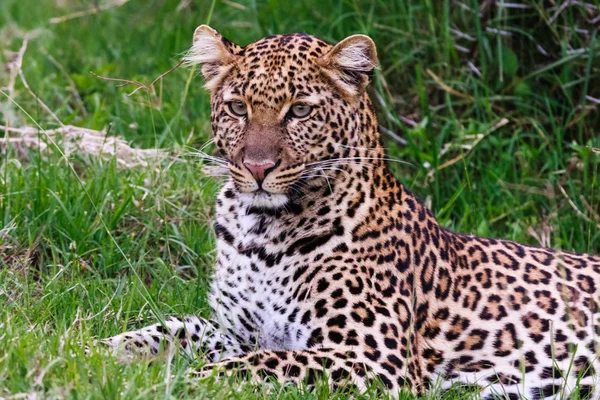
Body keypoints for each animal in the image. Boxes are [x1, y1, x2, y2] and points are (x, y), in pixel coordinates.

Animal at [98, 25, 600, 400]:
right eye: (238, 107)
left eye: (300, 110)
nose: (257, 167)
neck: (259, 231)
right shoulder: (237, 330)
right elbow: (175, 328)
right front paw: (98, 351)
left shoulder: (373, 358)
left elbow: (260, 365)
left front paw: (184, 383)